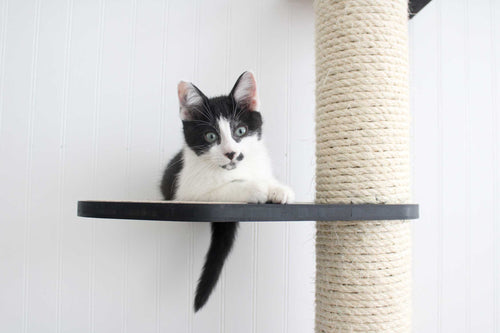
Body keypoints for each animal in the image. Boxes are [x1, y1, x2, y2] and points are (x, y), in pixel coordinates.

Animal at [160, 70, 294, 312]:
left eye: (240, 130)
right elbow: (224, 189)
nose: (231, 153)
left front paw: (278, 189)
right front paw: (256, 188)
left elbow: (265, 177)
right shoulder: (188, 192)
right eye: (211, 136)